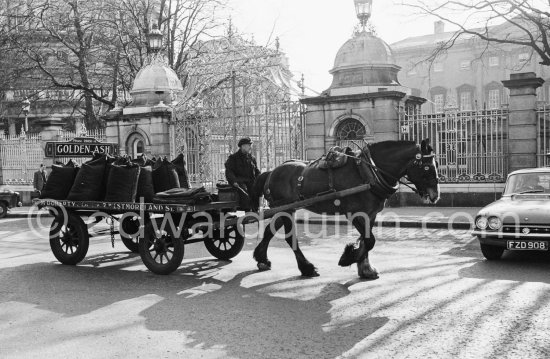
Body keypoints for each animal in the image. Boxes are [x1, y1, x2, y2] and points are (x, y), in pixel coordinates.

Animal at [252, 139, 442, 280]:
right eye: (427, 166)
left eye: (436, 164)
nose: (435, 195)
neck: (368, 171)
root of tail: (270, 172)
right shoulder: (354, 213)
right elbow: (370, 240)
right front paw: (349, 257)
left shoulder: (370, 214)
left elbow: (366, 239)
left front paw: (365, 268)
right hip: (285, 210)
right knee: (290, 238)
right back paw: (307, 268)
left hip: (283, 209)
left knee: (269, 231)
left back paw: (262, 259)